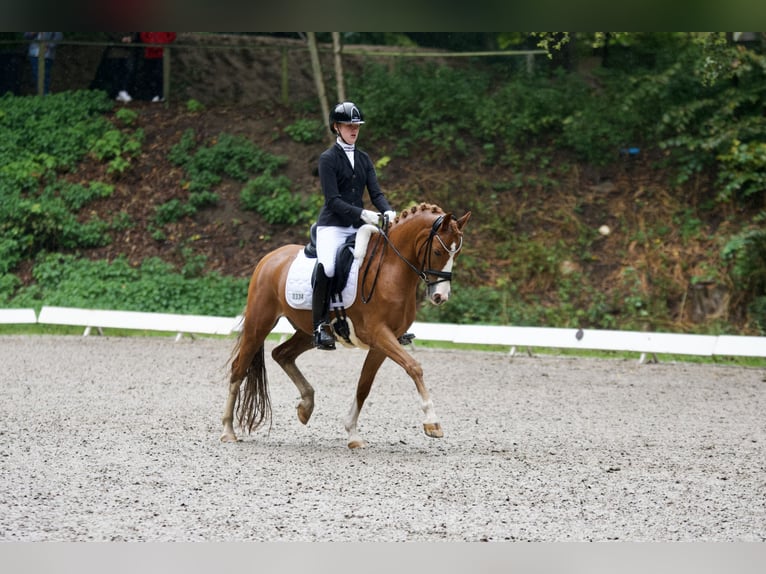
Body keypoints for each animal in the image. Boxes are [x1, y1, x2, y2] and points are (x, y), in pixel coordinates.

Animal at [220, 202, 474, 450]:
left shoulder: (383, 343)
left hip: (307, 332)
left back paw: (306, 406)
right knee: (239, 368)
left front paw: (352, 433)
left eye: (457, 253)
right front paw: (432, 423)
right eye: (438, 251)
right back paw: (228, 431)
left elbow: (364, 385)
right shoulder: (379, 334)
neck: (391, 269)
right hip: (259, 323)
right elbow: (414, 367)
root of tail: (270, 258)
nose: (440, 297)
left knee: (281, 354)